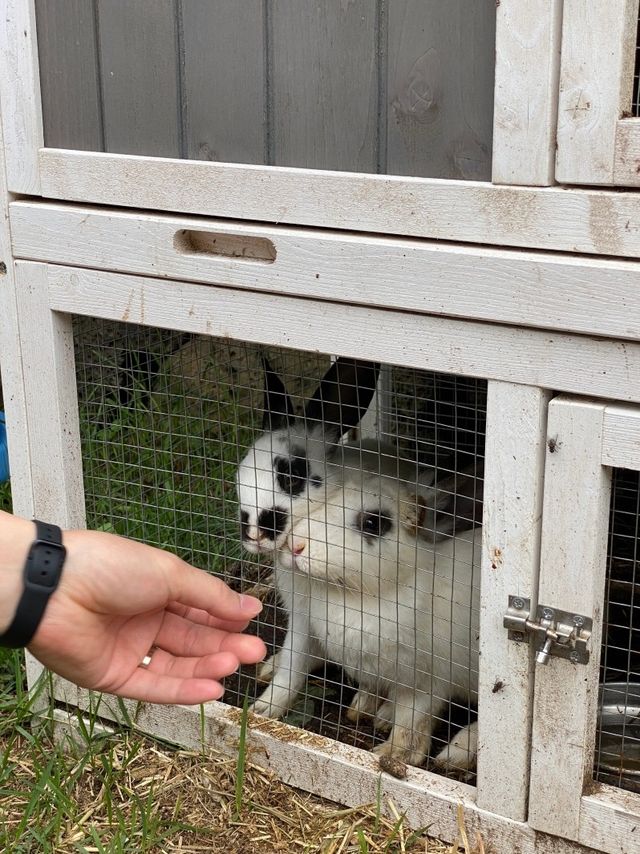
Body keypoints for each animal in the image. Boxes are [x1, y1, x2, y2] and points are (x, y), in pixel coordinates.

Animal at [255, 464, 480, 772]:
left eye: (373, 523)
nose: (296, 546)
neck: (352, 593)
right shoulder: (309, 632)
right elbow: (291, 672)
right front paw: (261, 711)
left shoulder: (425, 678)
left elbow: (412, 720)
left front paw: (392, 756)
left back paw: (455, 753)